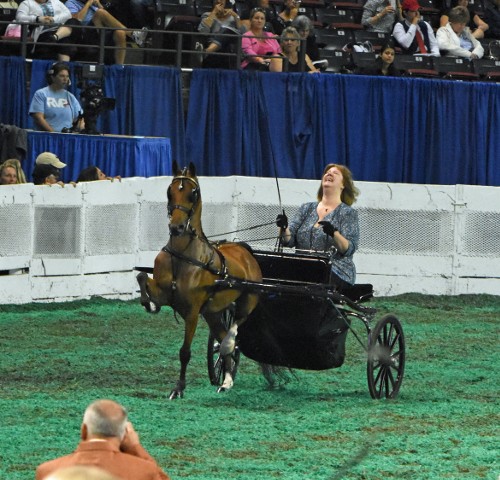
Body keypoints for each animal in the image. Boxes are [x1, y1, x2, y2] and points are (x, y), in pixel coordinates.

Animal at [137, 163, 262, 400]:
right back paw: (226, 380)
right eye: (170, 191)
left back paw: (228, 355)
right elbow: (141, 277)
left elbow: (185, 352)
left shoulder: (193, 312)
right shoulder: (165, 293)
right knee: (222, 338)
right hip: (212, 313)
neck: (182, 256)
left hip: (247, 301)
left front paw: (178, 388)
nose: (176, 227)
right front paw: (149, 303)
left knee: (233, 333)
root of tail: (244, 251)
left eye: (192, 193)